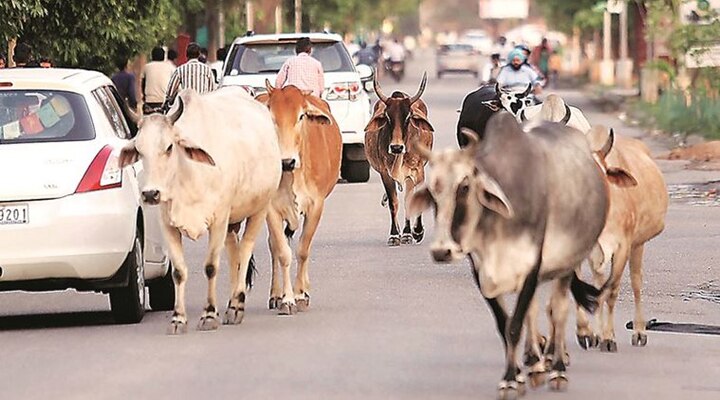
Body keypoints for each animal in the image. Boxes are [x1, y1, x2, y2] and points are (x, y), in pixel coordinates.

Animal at [118, 87, 282, 334]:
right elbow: (178, 271)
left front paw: (209, 315)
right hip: (232, 223)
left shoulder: (219, 220)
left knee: (245, 252)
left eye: (169, 147)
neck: (188, 174)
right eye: (139, 150)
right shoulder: (168, 224)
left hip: (260, 208)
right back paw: (231, 304)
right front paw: (178, 319)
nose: (150, 193)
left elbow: (211, 267)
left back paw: (237, 305)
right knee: (234, 255)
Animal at [256, 83, 344, 316]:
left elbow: (303, 250)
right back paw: (275, 295)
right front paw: (286, 299)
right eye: (271, 116)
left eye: (301, 116)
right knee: (274, 246)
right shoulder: (271, 209)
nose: (286, 161)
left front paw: (300, 295)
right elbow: (283, 252)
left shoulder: (316, 206)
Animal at [366, 72, 434, 247]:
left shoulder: (417, 171)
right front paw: (395, 234)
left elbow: (411, 200)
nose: (396, 147)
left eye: (408, 117)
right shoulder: (385, 173)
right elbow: (393, 203)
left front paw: (414, 232)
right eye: (387, 117)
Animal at [572, 126, 668, 352]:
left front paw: (609, 338)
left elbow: (613, 291)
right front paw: (587, 333)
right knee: (600, 284)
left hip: (638, 244)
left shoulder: (623, 246)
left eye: (602, 173)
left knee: (636, 283)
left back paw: (639, 332)